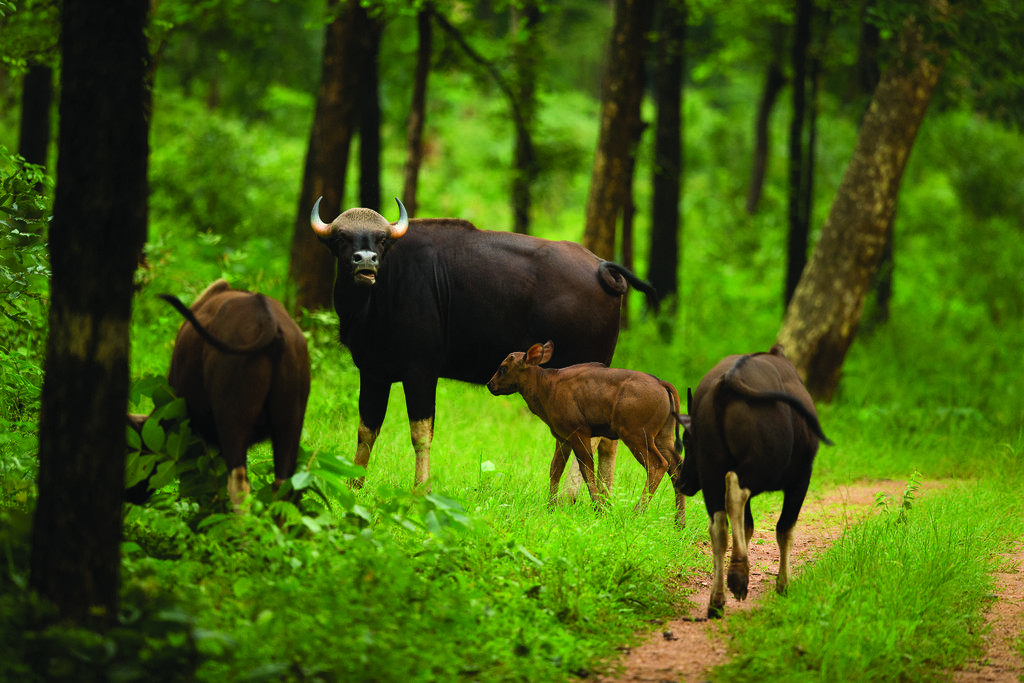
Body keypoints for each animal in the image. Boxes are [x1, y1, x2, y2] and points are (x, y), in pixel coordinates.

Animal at [310, 197, 657, 491]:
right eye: (341, 237)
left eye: (382, 240)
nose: (366, 261)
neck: (377, 299)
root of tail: (600, 267)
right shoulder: (373, 372)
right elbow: (366, 431)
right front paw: (354, 485)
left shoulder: (420, 370)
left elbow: (420, 433)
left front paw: (421, 489)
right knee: (607, 438)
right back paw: (603, 496)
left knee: (590, 437)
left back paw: (573, 495)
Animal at [681, 344, 832, 618]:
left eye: (688, 440)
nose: (681, 481)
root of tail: (727, 381)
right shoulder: (801, 478)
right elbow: (784, 529)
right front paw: (783, 584)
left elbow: (747, 526)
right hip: (763, 466)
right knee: (735, 494)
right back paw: (738, 576)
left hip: (711, 472)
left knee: (719, 523)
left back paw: (717, 599)